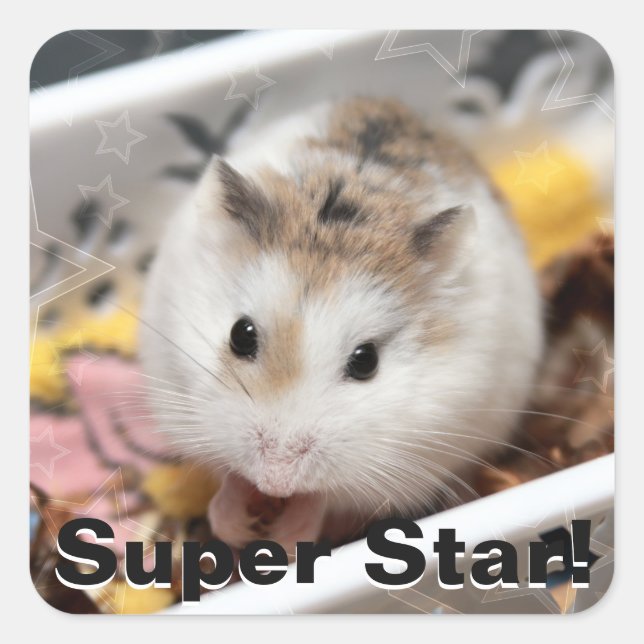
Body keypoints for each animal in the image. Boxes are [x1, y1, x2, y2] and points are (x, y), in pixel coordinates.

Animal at [139, 97, 543, 550]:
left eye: (366, 361)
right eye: (240, 335)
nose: (275, 481)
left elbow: (323, 498)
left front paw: (285, 537)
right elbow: (228, 475)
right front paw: (235, 525)